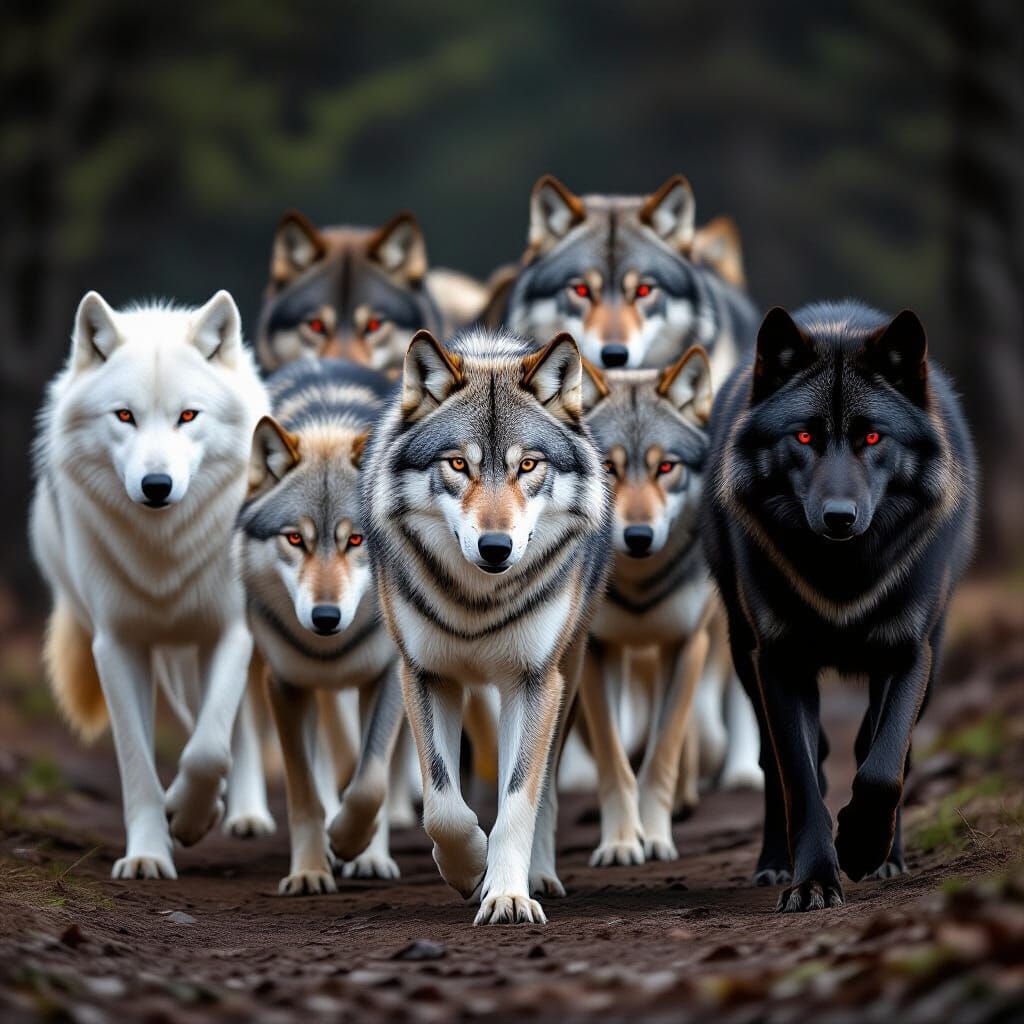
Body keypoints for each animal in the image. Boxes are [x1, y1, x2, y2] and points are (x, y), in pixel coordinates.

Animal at [31, 291, 268, 879]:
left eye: (188, 415)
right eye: (125, 416)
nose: (156, 486)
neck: (165, 552)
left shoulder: (231, 631)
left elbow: (208, 750)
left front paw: (188, 814)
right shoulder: (117, 645)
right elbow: (138, 760)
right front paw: (148, 853)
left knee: (241, 727)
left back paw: (245, 814)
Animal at [237, 358, 404, 894]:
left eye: (356, 539)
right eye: (296, 539)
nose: (325, 618)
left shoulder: (389, 677)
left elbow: (370, 782)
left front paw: (358, 847)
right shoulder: (286, 686)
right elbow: (304, 794)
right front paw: (310, 871)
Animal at [363, 328, 611, 924]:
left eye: (528, 466)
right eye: (458, 464)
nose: (495, 547)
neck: (477, 603)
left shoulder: (533, 680)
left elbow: (519, 799)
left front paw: (507, 896)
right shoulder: (425, 675)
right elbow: (442, 803)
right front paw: (469, 866)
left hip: (563, 681)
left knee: (543, 788)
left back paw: (537, 876)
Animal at [703, 301, 977, 912]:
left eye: (872, 436)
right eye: (804, 435)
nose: (838, 517)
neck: (844, 573)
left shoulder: (909, 655)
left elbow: (883, 766)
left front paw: (860, 846)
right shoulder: (779, 663)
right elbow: (799, 781)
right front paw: (813, 881)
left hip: (934, 657)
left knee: (882, 748)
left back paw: (886, 857)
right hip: (742, 654)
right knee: (774, 764)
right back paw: (775, 864)